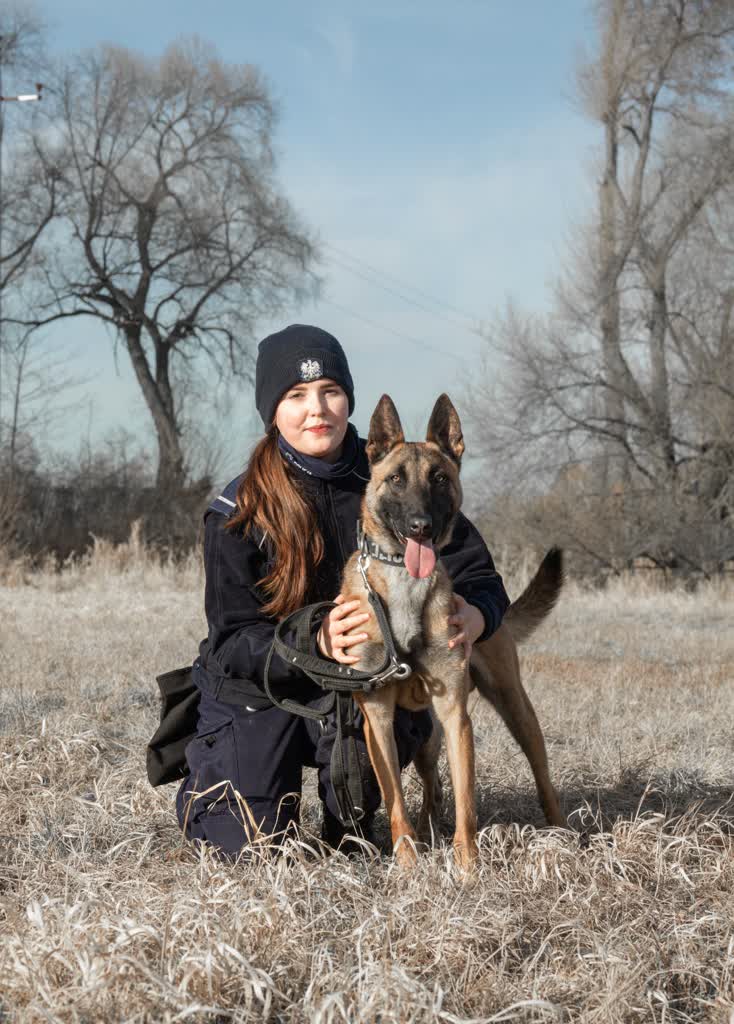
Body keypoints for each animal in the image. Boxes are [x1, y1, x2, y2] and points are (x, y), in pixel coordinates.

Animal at [340, 393, 566, 870]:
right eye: (395, 479)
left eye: (440, 478)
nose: (420, 526)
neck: (404, 586)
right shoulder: (378, 718)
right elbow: (396, 801)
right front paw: (408, 863)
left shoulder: (455, 716)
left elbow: (468, 802)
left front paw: (467, 867)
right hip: (426, 738)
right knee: (431, 788)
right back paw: (427, 833)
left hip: (514, 707)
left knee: (540, 773)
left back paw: (562, 833)